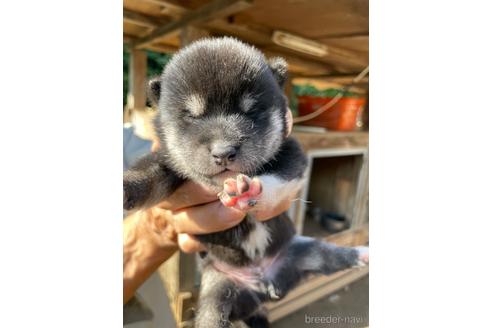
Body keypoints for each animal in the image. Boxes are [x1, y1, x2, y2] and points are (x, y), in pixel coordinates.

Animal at [124, 37, 368, 326]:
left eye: (251, 111)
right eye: (192, 116)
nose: (223, 152)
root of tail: (263, 285)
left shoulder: (291, 152)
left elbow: (276, 178)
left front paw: (250, 191)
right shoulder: (166, 160)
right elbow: (148, 174)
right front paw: (126, 187)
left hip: (304, 251)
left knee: (332, 256)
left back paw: (361, 254)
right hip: (216, 291)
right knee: (211, 315)